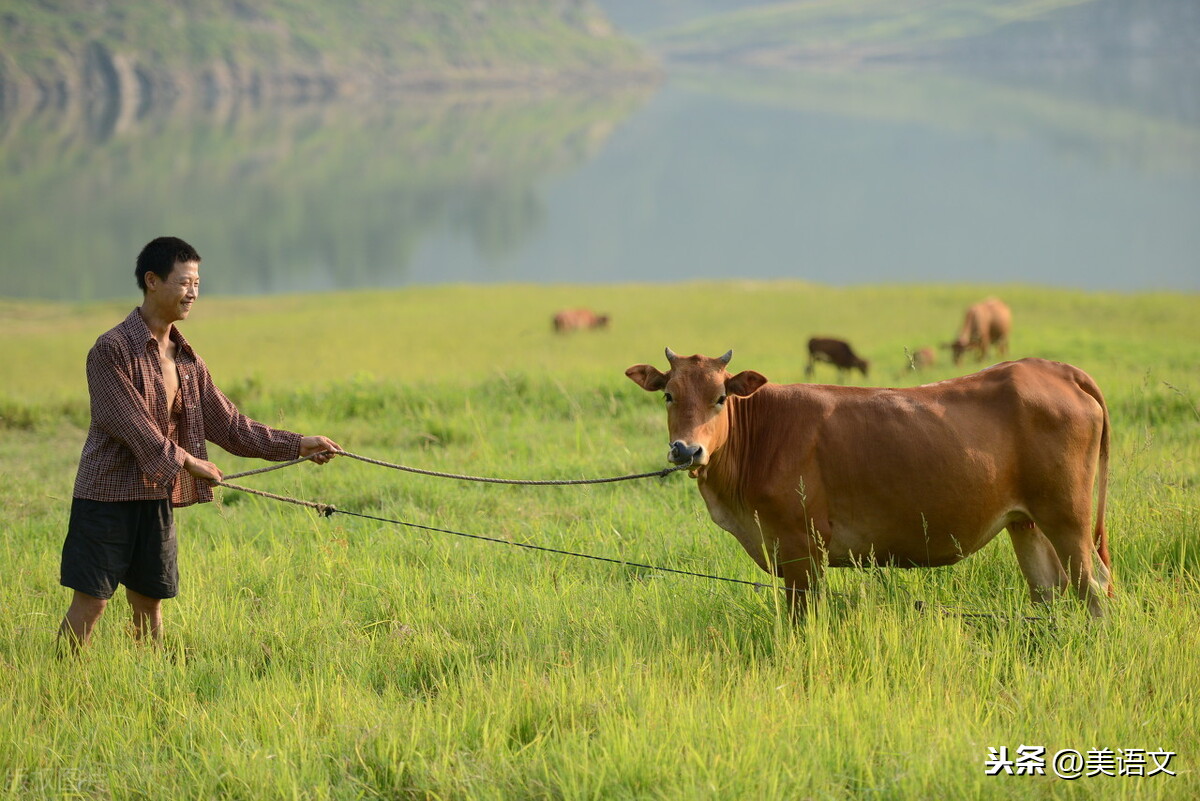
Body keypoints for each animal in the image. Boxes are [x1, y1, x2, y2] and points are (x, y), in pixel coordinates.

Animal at [628, 347, 1113, 618]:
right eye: (669, 394)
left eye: (720, 397)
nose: (686, 450)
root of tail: (1054, 369)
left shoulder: (801, 550)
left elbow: (803, 620)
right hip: (1025, 522)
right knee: (1048, 589)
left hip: (1067, 517)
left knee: (1094, 588)